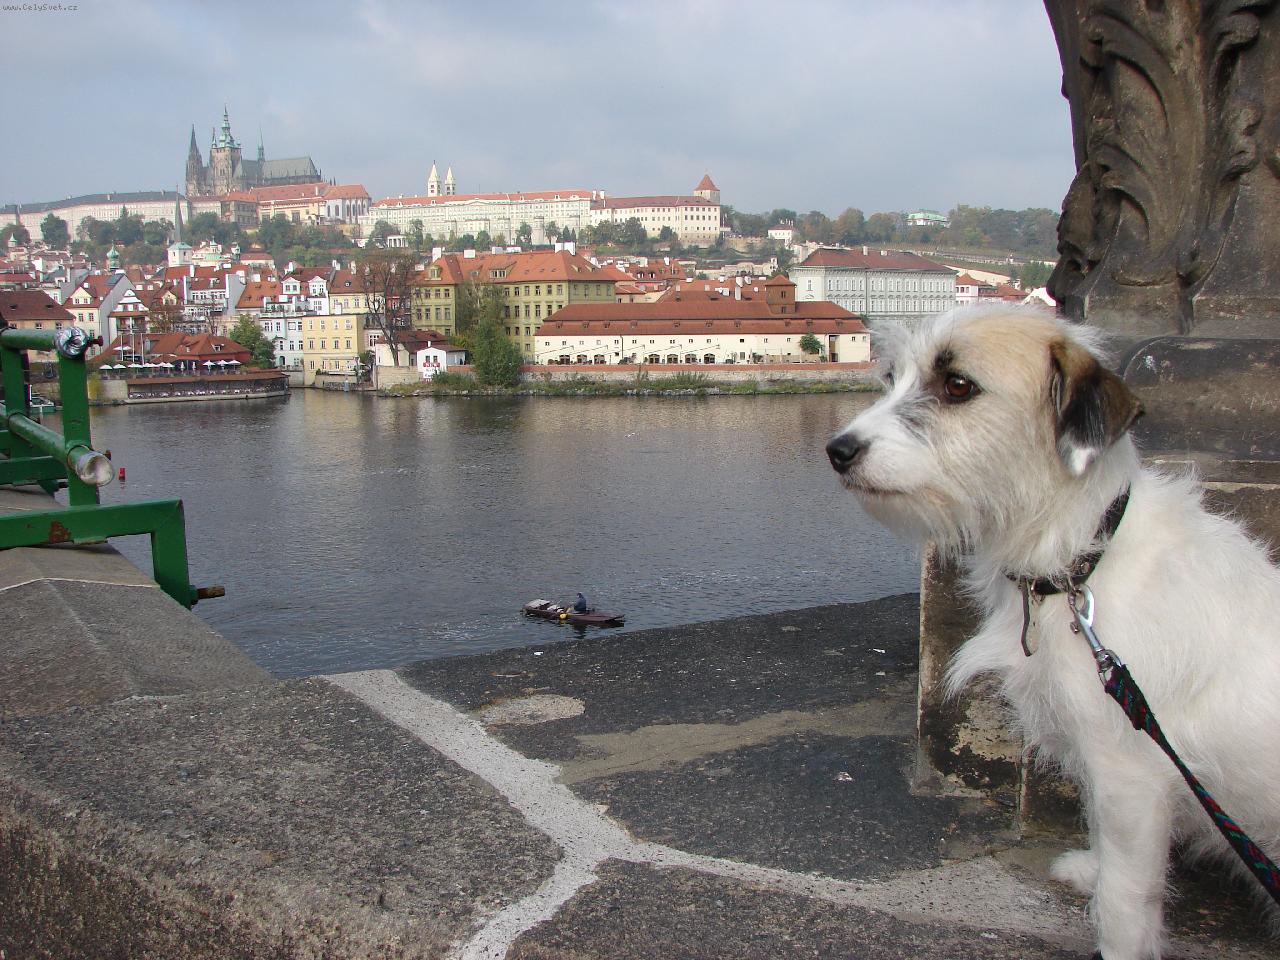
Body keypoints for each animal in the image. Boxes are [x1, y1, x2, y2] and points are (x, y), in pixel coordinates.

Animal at [825, 307, 1280, 960]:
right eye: (891, 377)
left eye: (957, 385)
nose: (837, 450)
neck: (1080, 565)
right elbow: (1102, 839)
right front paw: (1091, 868)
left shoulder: (1130, 774)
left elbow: (1125, 896)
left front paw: (1120, 943)